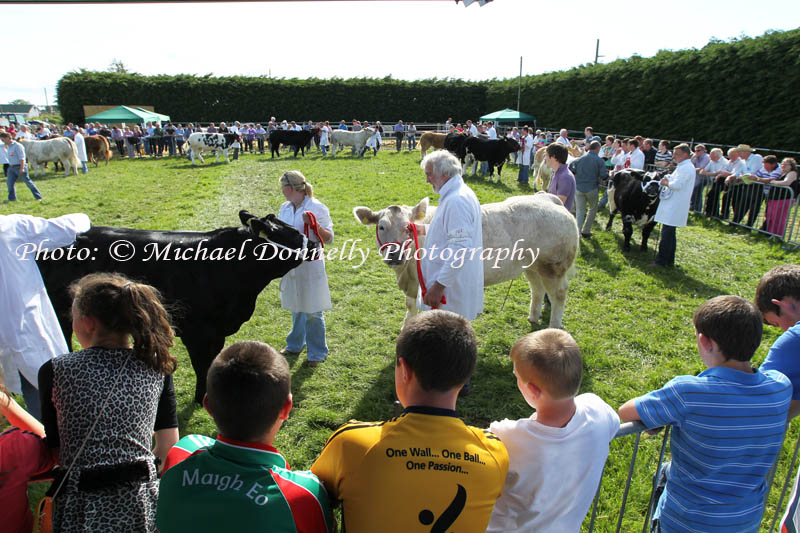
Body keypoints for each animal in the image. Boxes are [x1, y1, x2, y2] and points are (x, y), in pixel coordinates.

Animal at [36, 210, 318, 402]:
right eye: (290, 233)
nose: (315, 244)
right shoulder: (198, 332)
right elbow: (201, 364)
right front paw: (202, 398)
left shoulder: (217, 332)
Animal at [354, 193, 580, 326]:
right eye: (381, 226)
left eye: (407, 227)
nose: (395, 254)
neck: (406, 272)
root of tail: (548, 198)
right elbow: (410, 307)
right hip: (532, 265)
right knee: (537, 289)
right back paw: (533, 316)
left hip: (553, 266)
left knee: (558, 295)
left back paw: (554, 327)